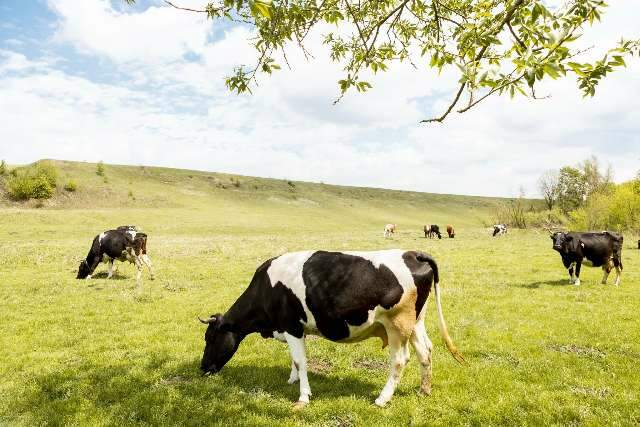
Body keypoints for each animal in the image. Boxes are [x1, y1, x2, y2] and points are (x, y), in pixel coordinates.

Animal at [198, 249, 462, 410]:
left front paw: (303, 397)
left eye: (210, 338)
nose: (202, 368)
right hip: (415, 322)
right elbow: (294, 361)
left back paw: (382, 398)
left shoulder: (291, 326)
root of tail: (413, 253)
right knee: (425, 351)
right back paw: (424, 390)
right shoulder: (294, 328)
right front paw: (292, 379)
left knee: (400, 360)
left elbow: (301, 361)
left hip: (397, 324)